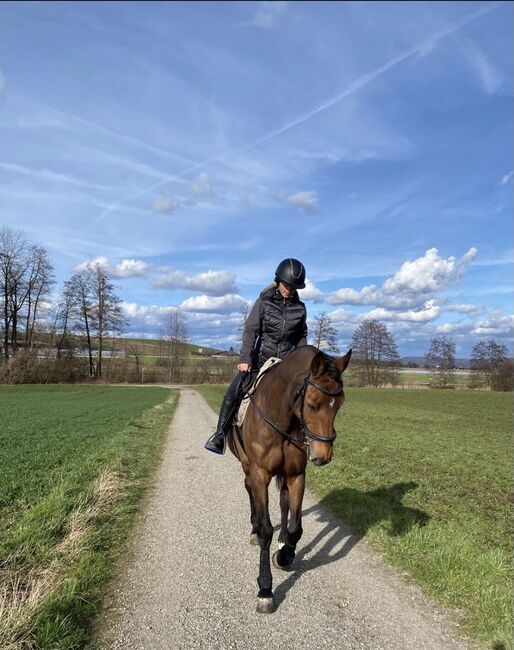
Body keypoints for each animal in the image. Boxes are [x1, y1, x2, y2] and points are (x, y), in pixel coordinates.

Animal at [226, 344, 350, 612]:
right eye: (312, 405)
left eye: (339, 404)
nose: (323, 455)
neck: (280, 420)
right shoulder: (259, 474)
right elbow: (265, 530)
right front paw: (265, 589)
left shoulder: (295, 475)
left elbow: (296, 526)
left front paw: (284, 555)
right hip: (247, 467)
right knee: (249, 491)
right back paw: (254, 528)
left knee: (283, 505)